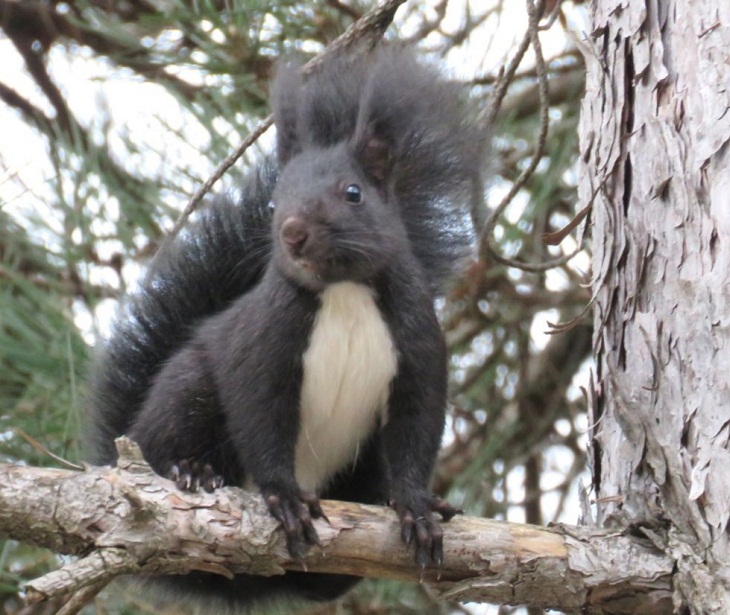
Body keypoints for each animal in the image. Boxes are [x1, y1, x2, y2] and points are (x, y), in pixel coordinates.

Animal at [86, 47, 484, 612]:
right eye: (274, 202)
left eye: (353, 193)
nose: (292, 233)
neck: (342, 293)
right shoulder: (264, 343)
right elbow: (261, 415)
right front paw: (283, 497)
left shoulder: (418, 345)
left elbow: (416, 428)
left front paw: (415, 504)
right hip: (186, 390)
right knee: (164, 436)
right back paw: (191, 471)